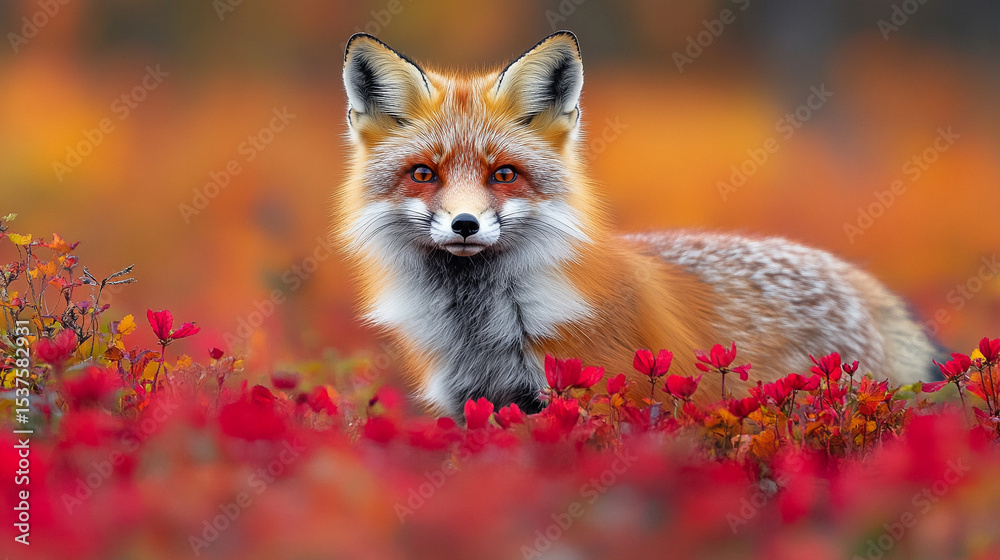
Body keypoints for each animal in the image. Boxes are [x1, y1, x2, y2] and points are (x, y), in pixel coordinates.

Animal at [336, 31, 937, 418]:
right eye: (424, 174)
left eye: (503, 174)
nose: (464, 224)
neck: (482, 326)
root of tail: (865, 284)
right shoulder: (475, 408)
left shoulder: (598, 400)